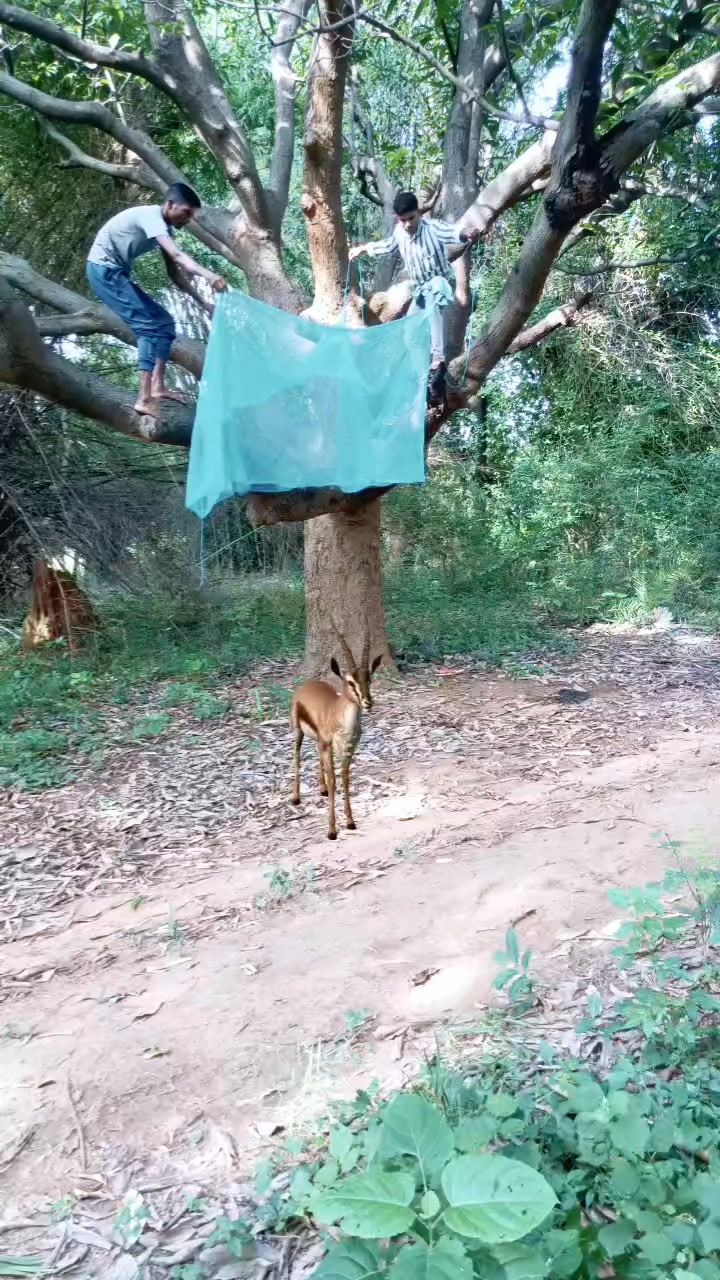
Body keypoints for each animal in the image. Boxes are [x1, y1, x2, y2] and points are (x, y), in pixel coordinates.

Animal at [290, 627, 382, 840]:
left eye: (369, 678)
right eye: (350, 682)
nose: (368, 702)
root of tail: (306, 686)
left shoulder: (349, 748)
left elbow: (345, 778)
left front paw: (350, 822)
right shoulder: (328, 744)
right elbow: (334, 780)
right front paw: (331, 830)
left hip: (321, 743)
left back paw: (322, 790)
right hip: (299, 733)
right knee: (297, 756)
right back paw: (296, 798)